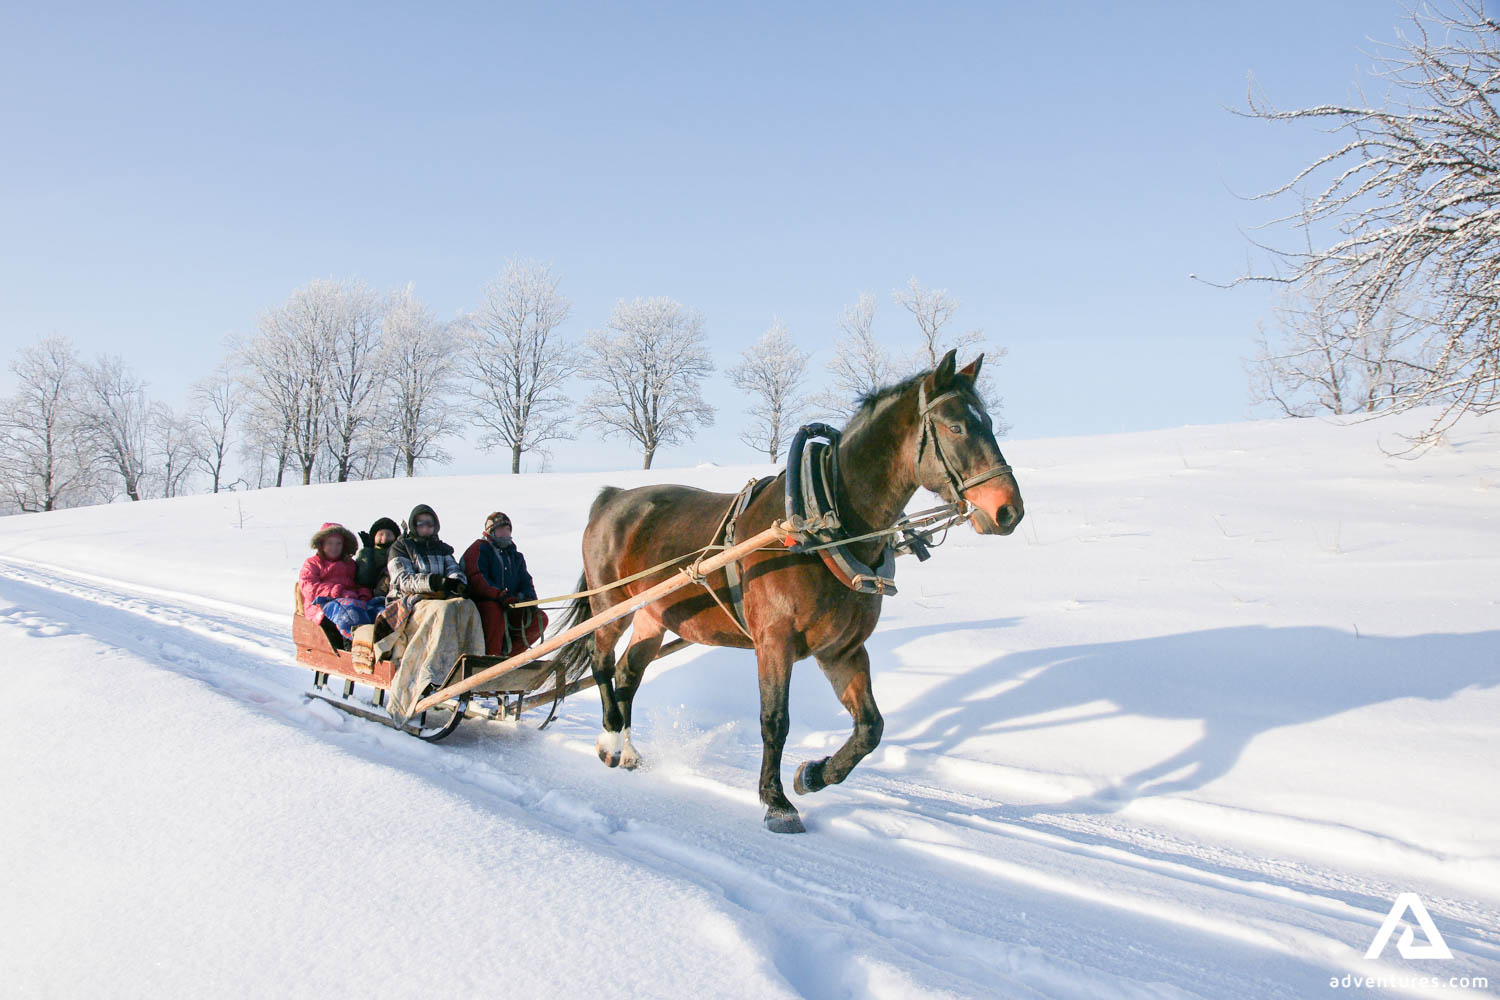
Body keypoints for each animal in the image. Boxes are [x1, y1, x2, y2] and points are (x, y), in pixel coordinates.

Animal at [552, 349, 1023, 832]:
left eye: (988, 422)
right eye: (956, 427)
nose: (1008, 510)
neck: (822, 526)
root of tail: (612, 497)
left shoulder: (842, 649)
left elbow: (870, 727)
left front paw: (813, 775)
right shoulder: (774, 642)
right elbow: (775, 721)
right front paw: (776, 801)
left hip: (654, 614)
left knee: (629, 672)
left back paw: (625, 749)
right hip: (611, 604)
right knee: (602, 663)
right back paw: (611, 741)